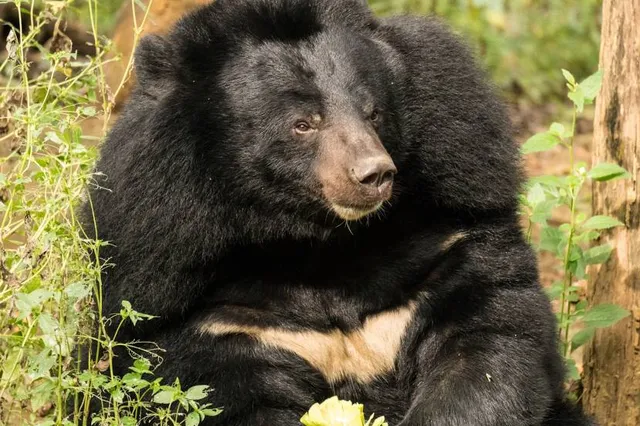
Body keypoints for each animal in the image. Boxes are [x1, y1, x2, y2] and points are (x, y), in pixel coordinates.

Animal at [83, 0, 597, 424]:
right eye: (302, 125)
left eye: (373, 113)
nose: (374, 174)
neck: (323, 243)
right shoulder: (204, 307)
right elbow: (220, 393)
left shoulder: (449, 240)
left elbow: (489, 342)